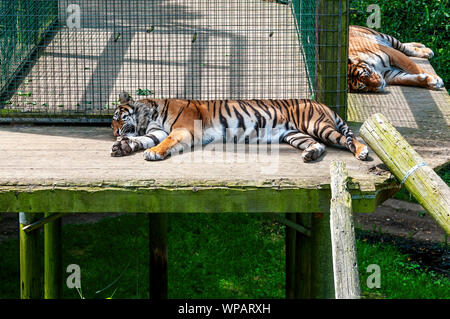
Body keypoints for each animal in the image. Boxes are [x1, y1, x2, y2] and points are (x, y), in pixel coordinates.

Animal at [110, 92, 370, 162]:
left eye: (117, 117)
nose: (113, 132)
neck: (151, 115)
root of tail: (322, 103)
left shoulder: (182, 130)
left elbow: (165, 142)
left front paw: (153, 153)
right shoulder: (157, 131)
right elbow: (141, 139)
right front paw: (122, 147)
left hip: (316, 125)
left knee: (345, 139)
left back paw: (362, 152)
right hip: (295, 134)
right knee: (319, 146)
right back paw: (310, 154)